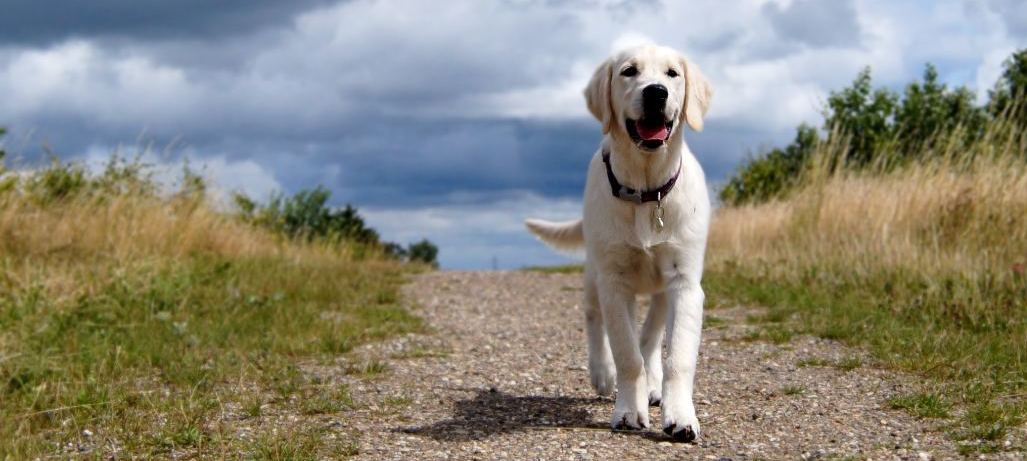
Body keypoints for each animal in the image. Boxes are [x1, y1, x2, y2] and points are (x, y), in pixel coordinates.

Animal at [525, 44, 710, 439]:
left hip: (659, 291)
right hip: (594, 274)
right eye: (629, 71)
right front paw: (627, 412)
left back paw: (653, 387)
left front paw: (680, 416)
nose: (655, 92)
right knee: (595, 319)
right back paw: (602, 373)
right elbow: (626, 354)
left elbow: (677, 356)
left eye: (673, 73)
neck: (646, 190)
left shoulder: (685, 282)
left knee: (652, 335)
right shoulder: (614, 281)